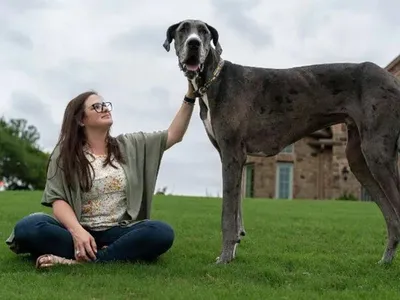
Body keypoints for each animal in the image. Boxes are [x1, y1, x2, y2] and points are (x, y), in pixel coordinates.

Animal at [162, 18, 400, 264]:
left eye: (204, 32)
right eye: (183, 30)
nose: (194, 44)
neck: (214, 80)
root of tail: (391, 77)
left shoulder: (231, 154)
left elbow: (227, 214)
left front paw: (224, 258)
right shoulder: (235, 158)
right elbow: (237, 210)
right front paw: (233, 251)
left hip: (377, 154)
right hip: (358, 159)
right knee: (392, 217)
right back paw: (386, 259)